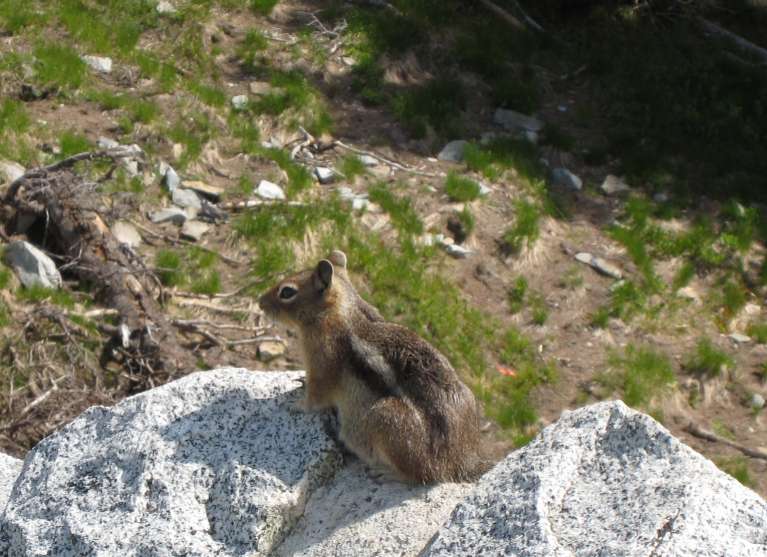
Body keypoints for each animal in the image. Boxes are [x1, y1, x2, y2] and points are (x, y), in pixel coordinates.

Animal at [258, 250, 493, 483]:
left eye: (287, 292)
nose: (260, 302)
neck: (341, 313)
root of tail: (459, 461)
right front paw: (300, 382)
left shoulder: (322, 364)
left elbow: (314, 399)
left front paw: (296, 405)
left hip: (386, 417)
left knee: (421, 474)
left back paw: (385, 472)